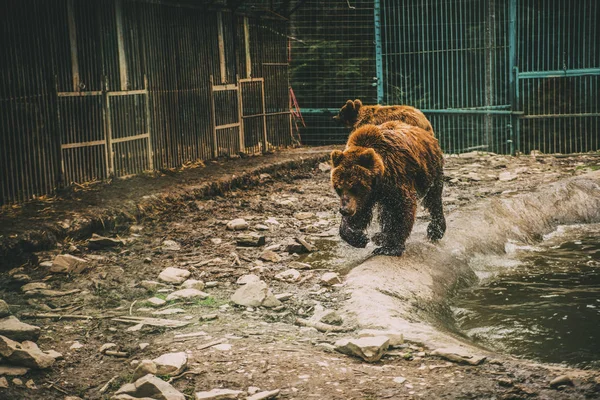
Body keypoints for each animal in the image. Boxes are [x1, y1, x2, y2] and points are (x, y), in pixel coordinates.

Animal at [328, 119, 446, 256]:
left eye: (354, 187)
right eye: (338, 188)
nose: (345, 210)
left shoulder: (396, 177)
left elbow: (401, 207)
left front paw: (389, 247)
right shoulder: (366, 197)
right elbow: (360, 214)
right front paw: (359, 237)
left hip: (430, 170)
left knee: (434, 198)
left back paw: (435, 230)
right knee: (384, 211)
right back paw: (380, 235)